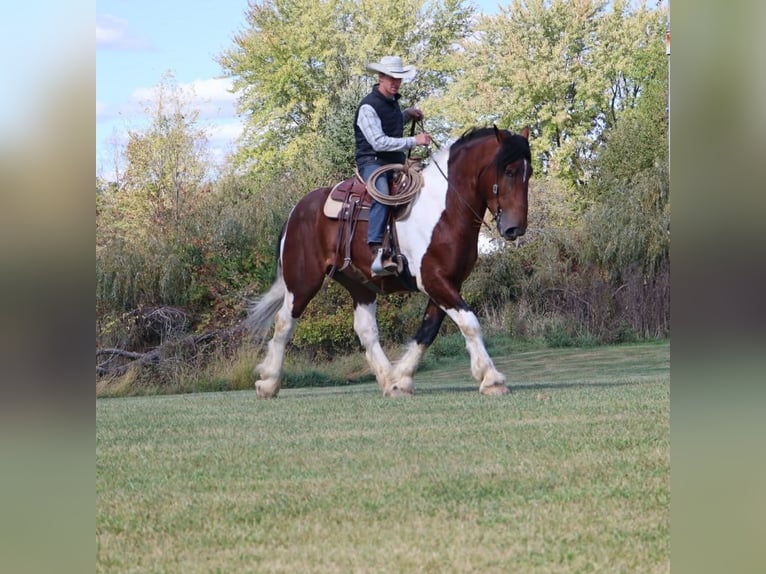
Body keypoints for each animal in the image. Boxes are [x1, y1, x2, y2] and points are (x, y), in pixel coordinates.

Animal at [245, 126, 532, 398]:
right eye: (509, 170)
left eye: (528, 173)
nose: (515, 228)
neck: (444, 209)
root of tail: (296, 211)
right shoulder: (433, 280)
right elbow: (470, 323)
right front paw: (492, 378)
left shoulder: (448, 282)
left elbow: (428, 330)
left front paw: (400, 379)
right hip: (303, 281)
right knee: (284, 323)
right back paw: (268, 382)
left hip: (359, 284)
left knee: (366, 330)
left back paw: (386, 379)